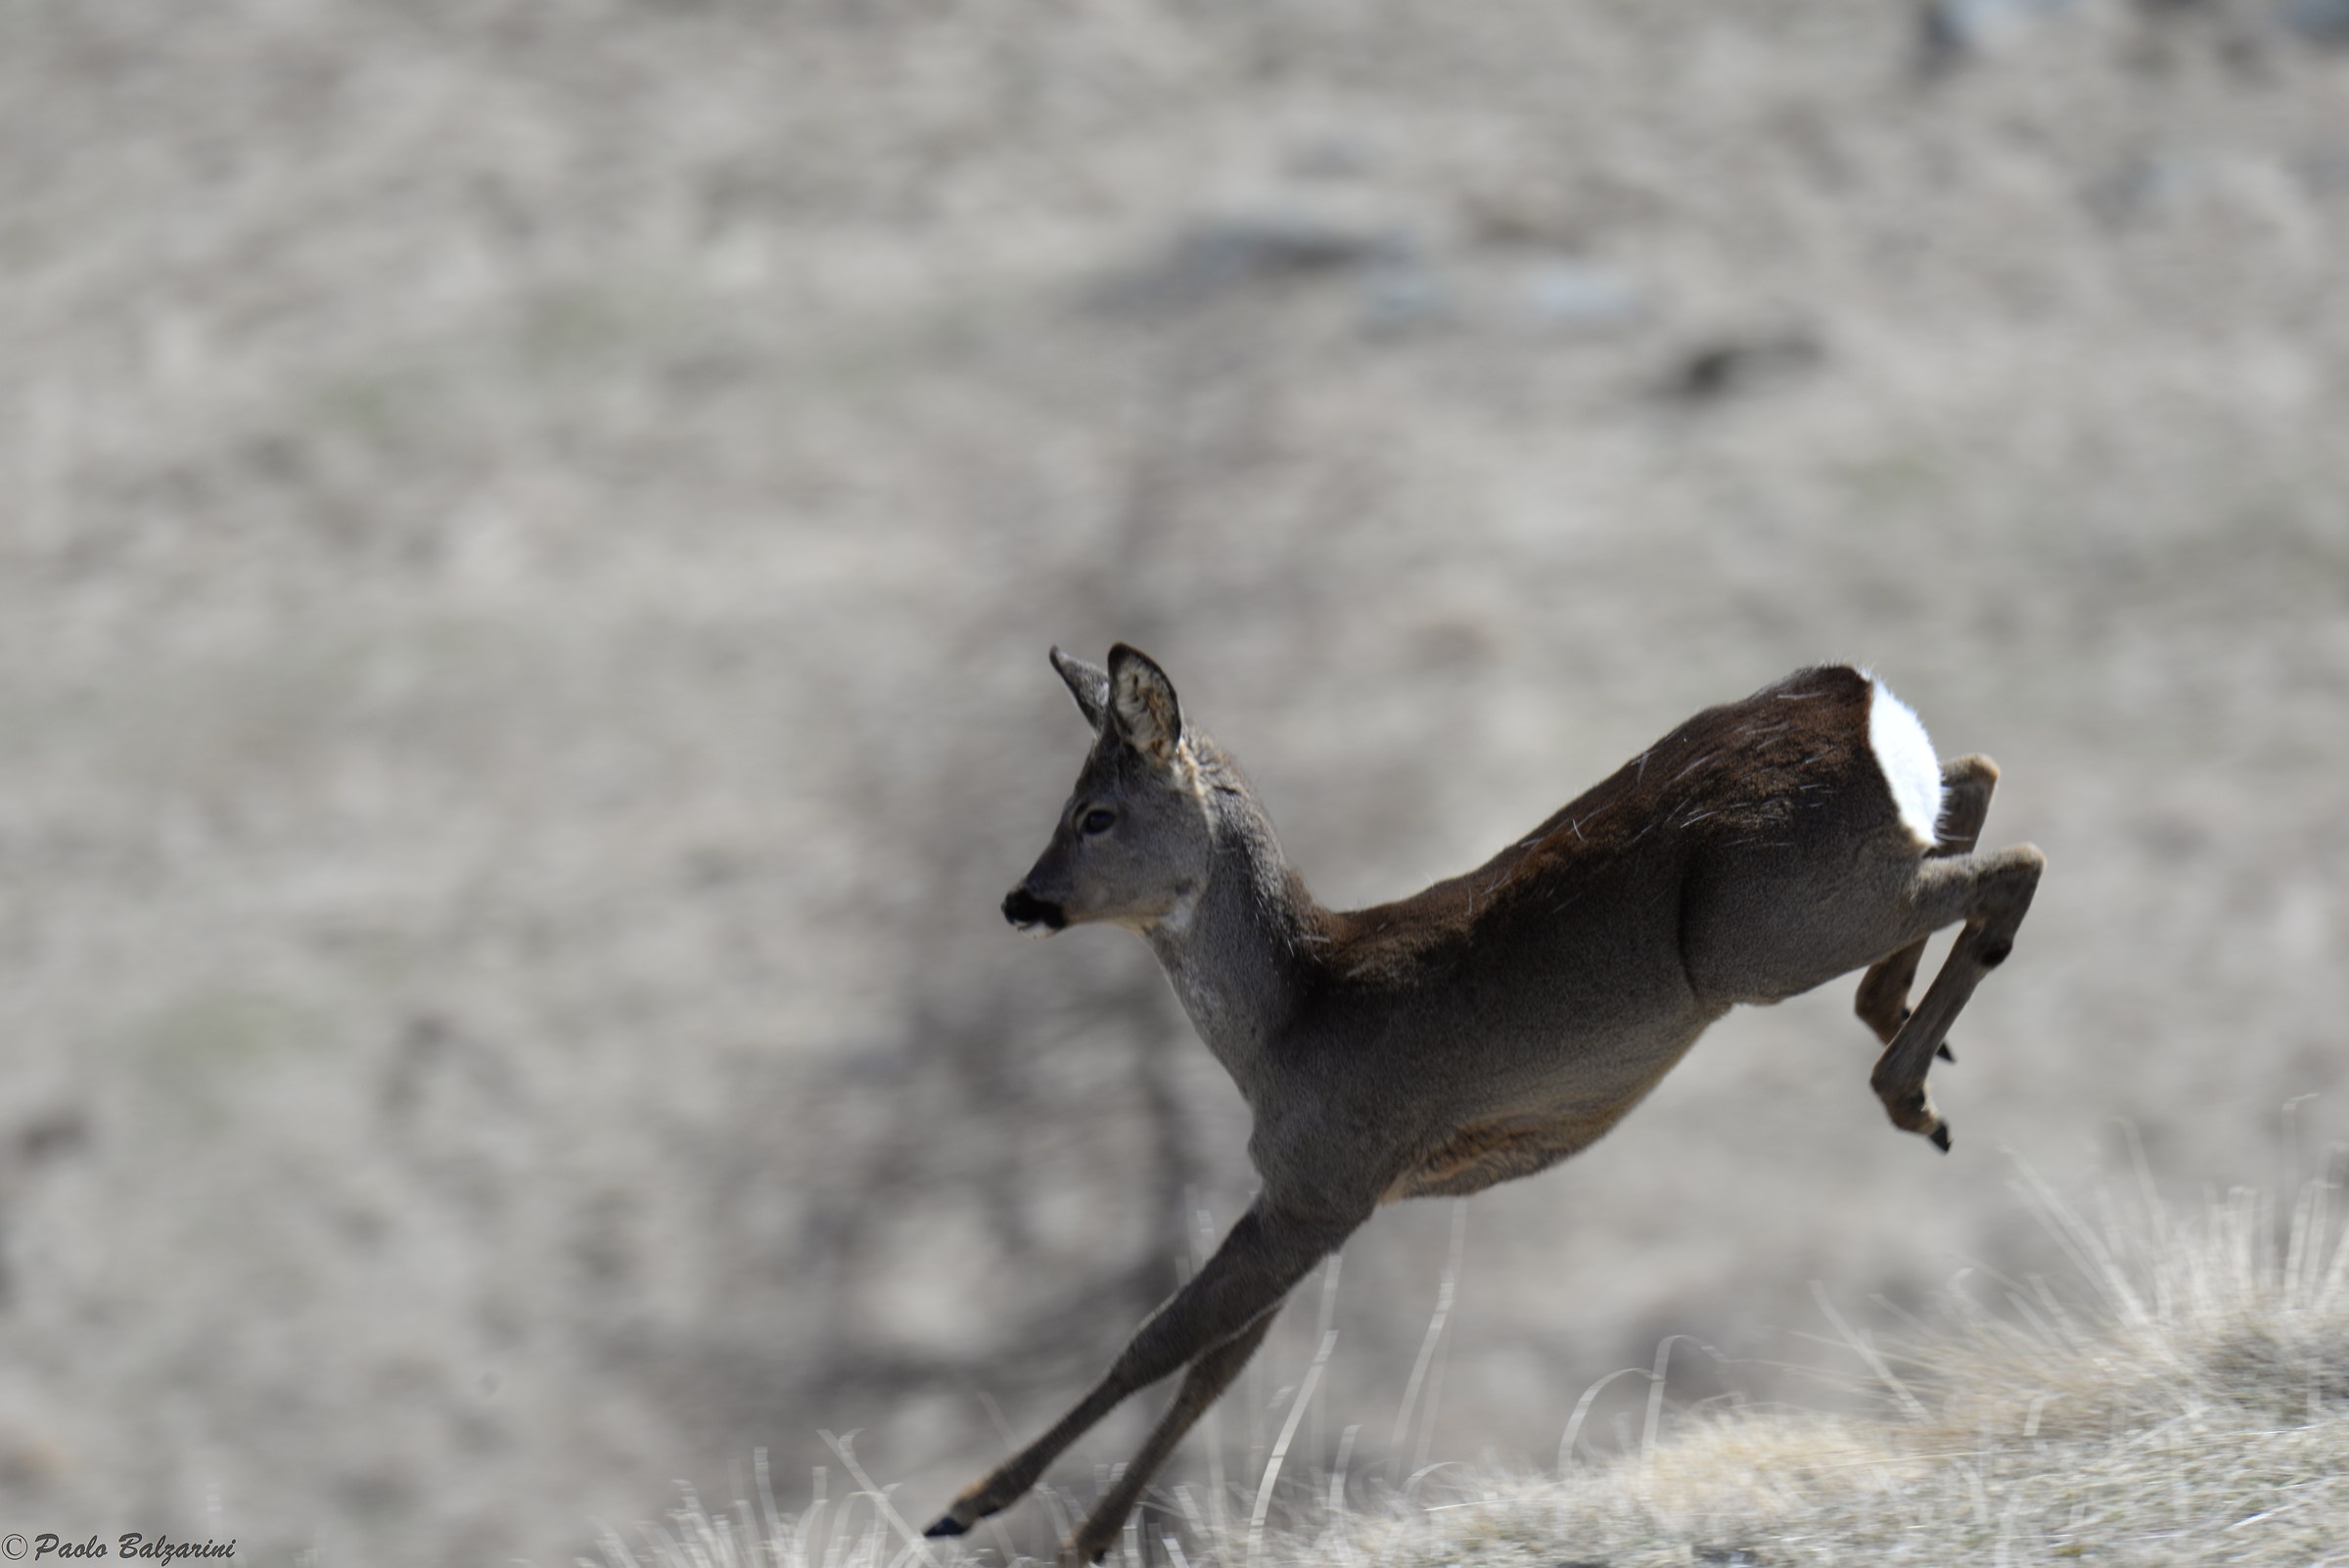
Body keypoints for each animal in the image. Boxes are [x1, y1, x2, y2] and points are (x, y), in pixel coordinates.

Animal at [925, 644, 2043, 1566]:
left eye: (1095, 814)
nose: (1021, 899)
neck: (1292, 1020)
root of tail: (1854, 697)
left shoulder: (1322, 1183)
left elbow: (1156, 1341)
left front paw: (971, 1505)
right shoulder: (1319, 1200)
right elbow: (1214, 1369)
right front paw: (1081, 1542)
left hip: (1763, 931)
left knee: (2010, 865)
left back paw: (1906, 1087)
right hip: (1822, 890)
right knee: (1976, 777)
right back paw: (1907, 1039)